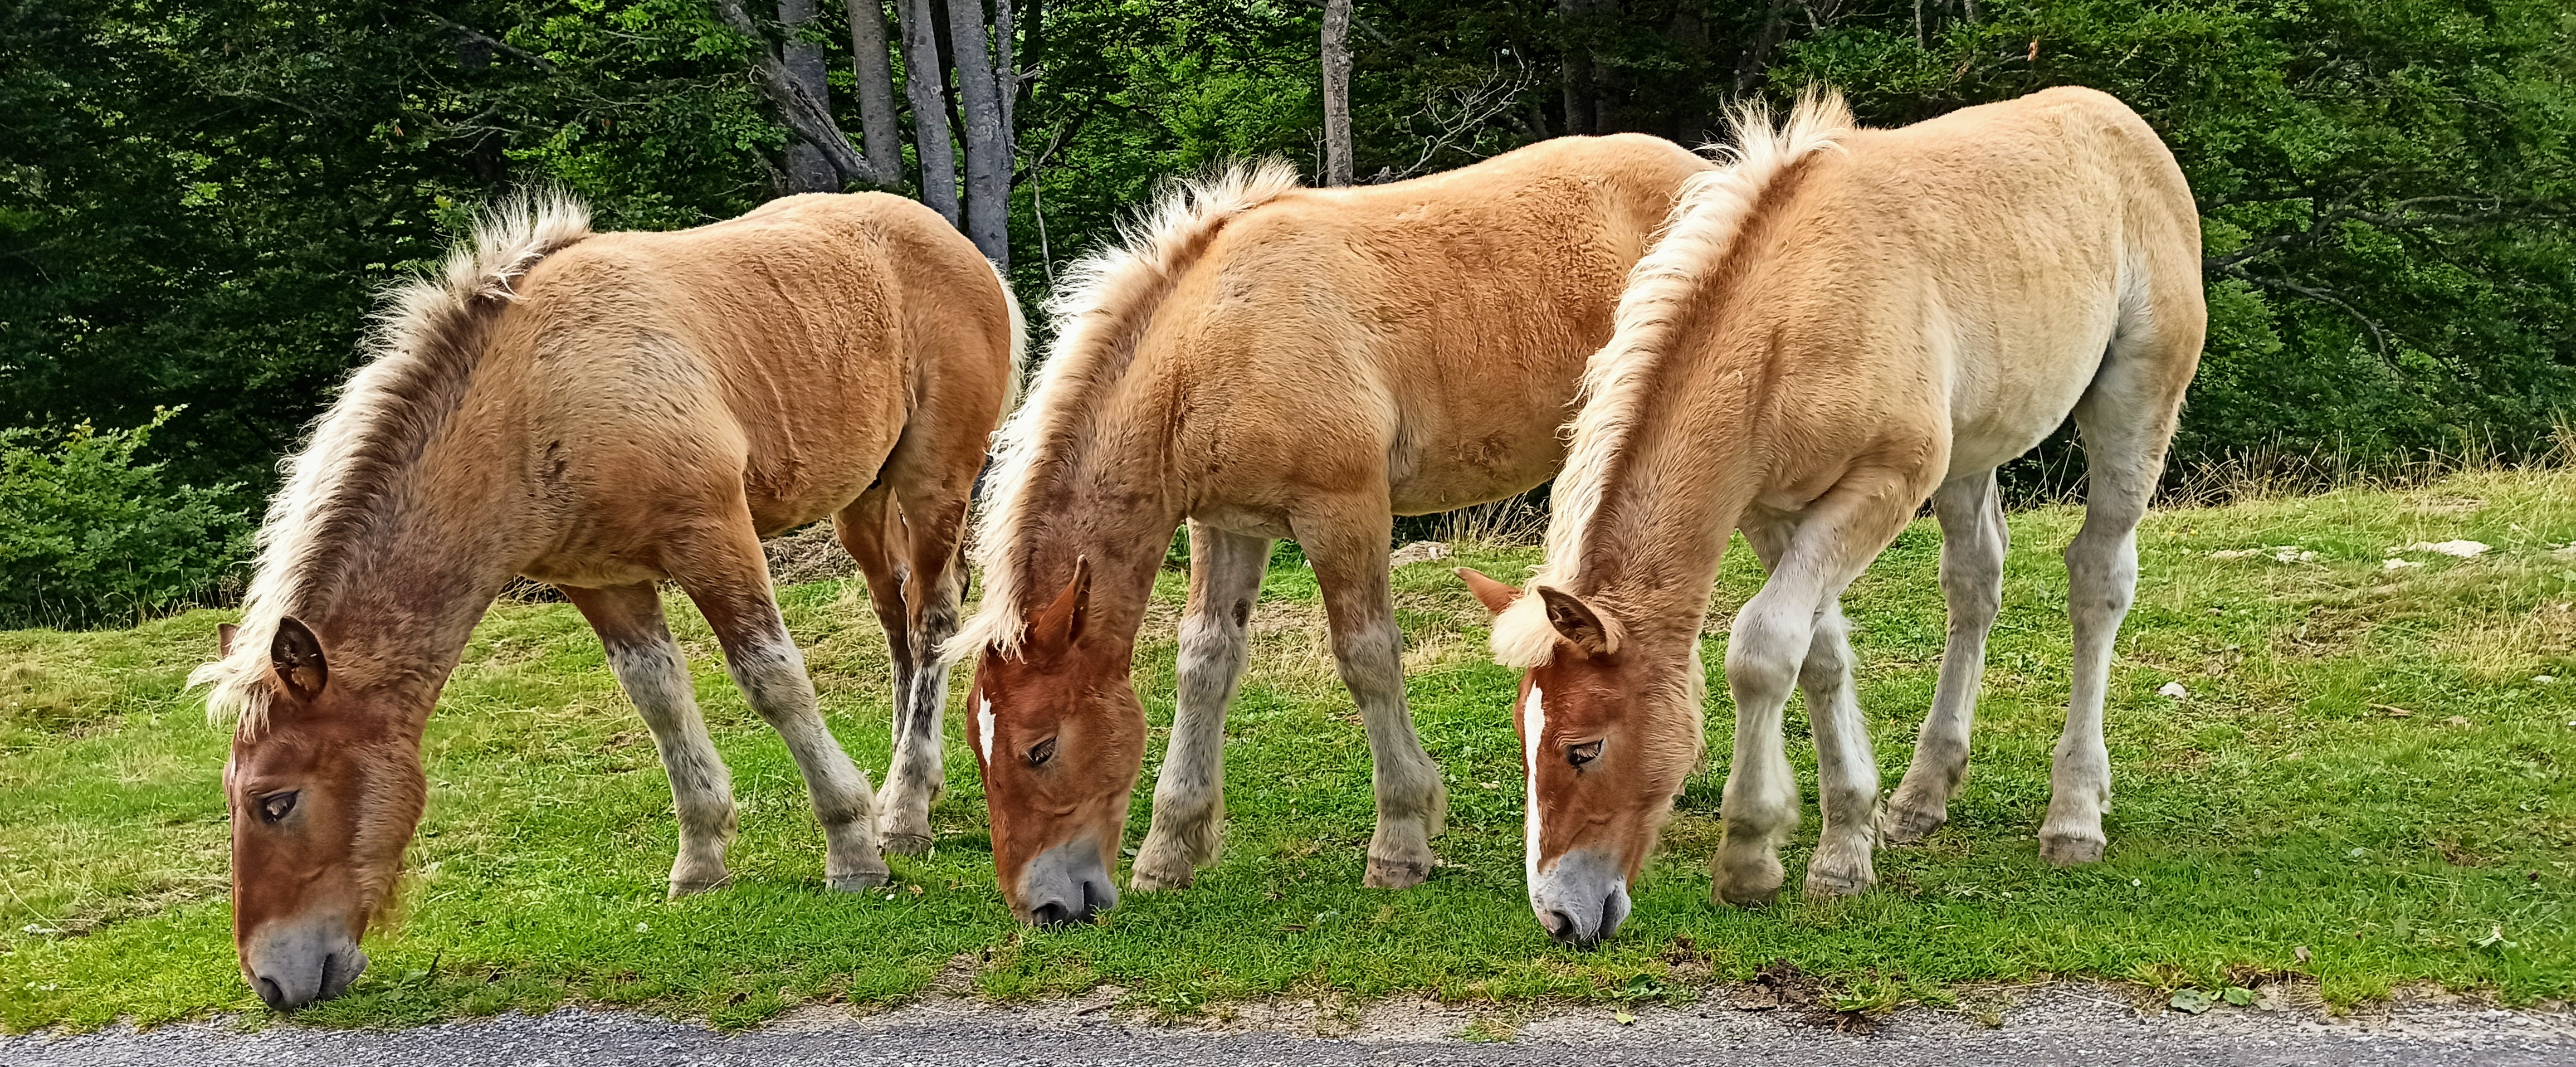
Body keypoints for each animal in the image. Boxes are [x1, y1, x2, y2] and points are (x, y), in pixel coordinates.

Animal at [190, 190, 1023, 1009]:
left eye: (276, 801)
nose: (272, 981)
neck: (540, 396)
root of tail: (957, 245)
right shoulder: (601, 582)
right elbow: (660, 703)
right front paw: (701, 863)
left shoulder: (715, 537)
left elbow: (775, 682)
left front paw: (850, 850)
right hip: (861, 499)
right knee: (897, 620)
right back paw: (900, 790)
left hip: (932, 479)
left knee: (933, 618)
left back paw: (904, 808)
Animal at [946, 135, 1712, 925]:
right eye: (977, 749)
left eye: (1039, 748)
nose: (1045, 907)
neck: (1215, 343)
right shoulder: (1225, 525)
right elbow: (1204, 662)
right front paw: (1168, 852)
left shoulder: (1343, 511)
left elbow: (1366, 657)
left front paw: (1400, 843)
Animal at [1460, 86, 2205, 946]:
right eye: (1527, 742)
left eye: (1584, 748)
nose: (1559, 915)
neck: (1791, 324)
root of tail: (2120, 120)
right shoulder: (1768, 506)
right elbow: (1817, 654)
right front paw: (1849, 840)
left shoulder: (1884, 482)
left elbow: (1762, 649)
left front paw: (1753, 855)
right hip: (1973, 448)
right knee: (1975, 581)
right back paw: (1922, 796)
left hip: (2135, 400)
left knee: (2098, 577)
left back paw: (2075, 815)